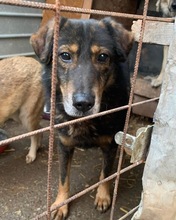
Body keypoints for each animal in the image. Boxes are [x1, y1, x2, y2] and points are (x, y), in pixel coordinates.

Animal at [30, 16, 133, 219]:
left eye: (103, 57)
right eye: (65, 55)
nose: (83, 104)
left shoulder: (110, 145)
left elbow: (105, 174)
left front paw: (102, 197)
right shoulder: (64, 146)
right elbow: (63, 178)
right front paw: (61, 204)